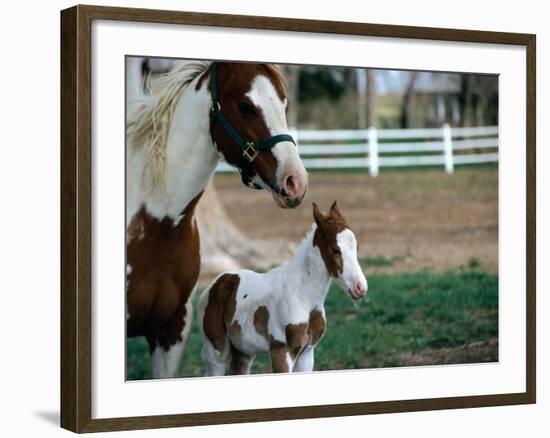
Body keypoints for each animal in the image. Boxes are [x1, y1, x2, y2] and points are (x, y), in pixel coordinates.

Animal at [199, 202, 370, 376]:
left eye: (356, 248)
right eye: (335, 250)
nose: (360, 287)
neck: (303, 296)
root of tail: (216, 283)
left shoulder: (307, 354)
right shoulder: (281, 350)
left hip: (244, 351)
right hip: (216, 351)